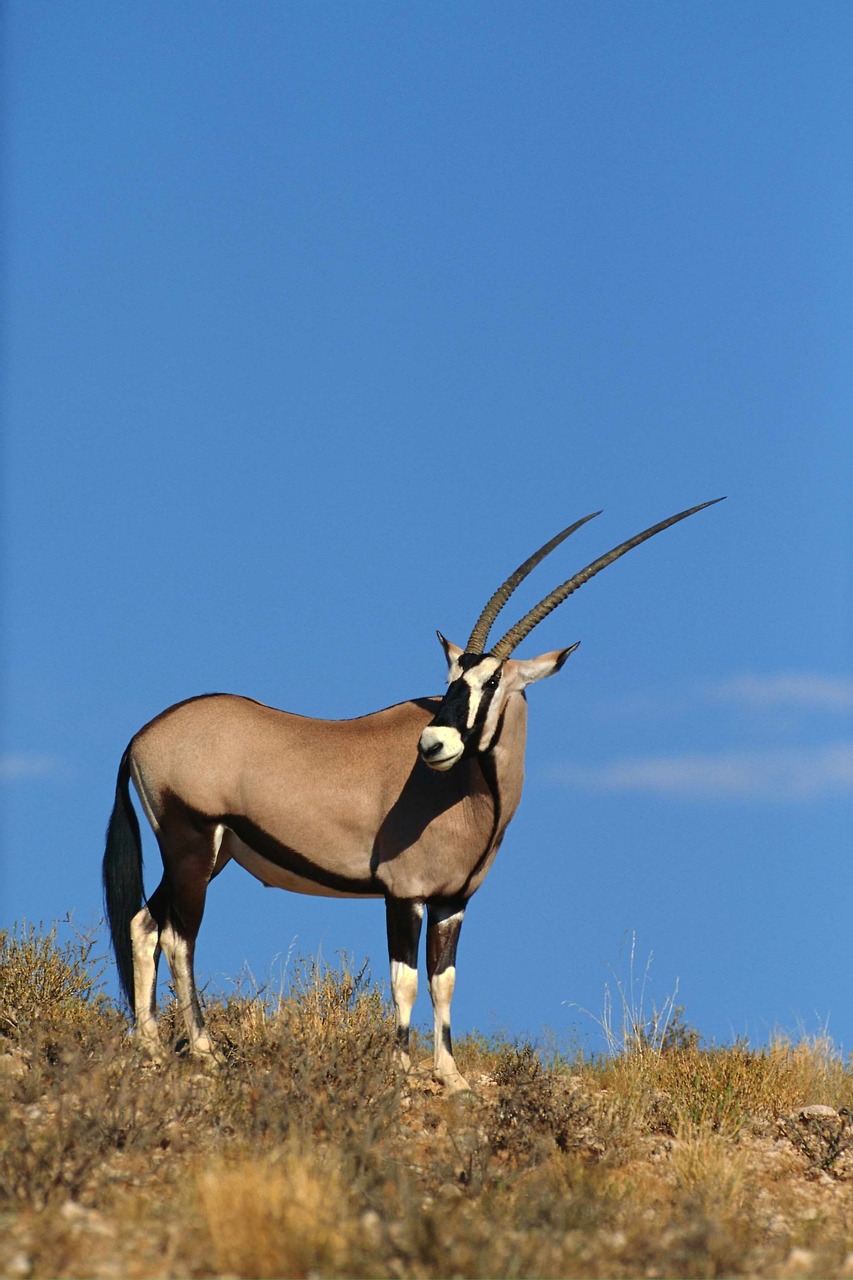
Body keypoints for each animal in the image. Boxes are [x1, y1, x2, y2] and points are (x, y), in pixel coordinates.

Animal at [103, 499, 722, 1090]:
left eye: (490, 681)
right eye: (451, 678)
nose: (433, 743)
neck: (473, 796)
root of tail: (142, 735)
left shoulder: (453, 901)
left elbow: (442, 981)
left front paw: (451, 1077)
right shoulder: (404, 894)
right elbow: (403, 981)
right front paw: (401, 1071)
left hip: (209, 856)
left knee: (144, 924)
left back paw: (150, 1047)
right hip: (192, 845)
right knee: (179, 937)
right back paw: (205, 1051)